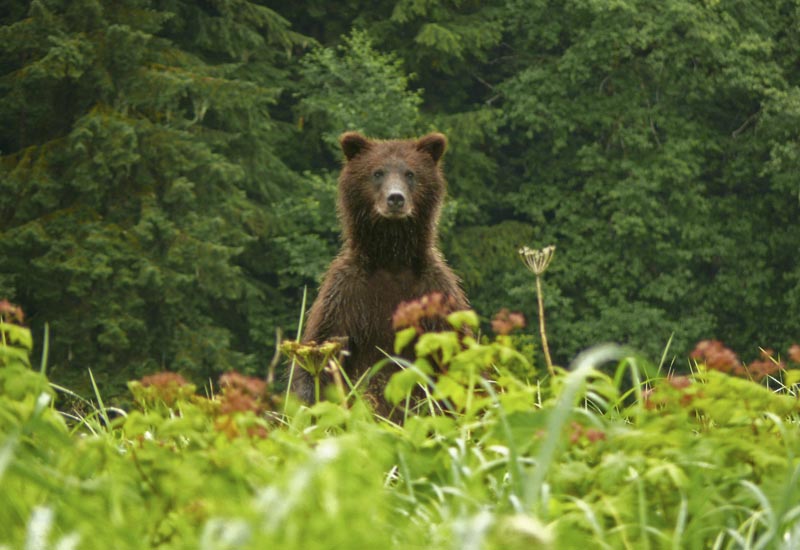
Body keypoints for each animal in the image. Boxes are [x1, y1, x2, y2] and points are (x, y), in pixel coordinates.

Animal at [292, 130, 468, 414]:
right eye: (377, 172)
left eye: (410, 173)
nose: (395, 198)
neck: (391, 260)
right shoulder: (346, 295)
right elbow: (321, 355)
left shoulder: (434, 293)